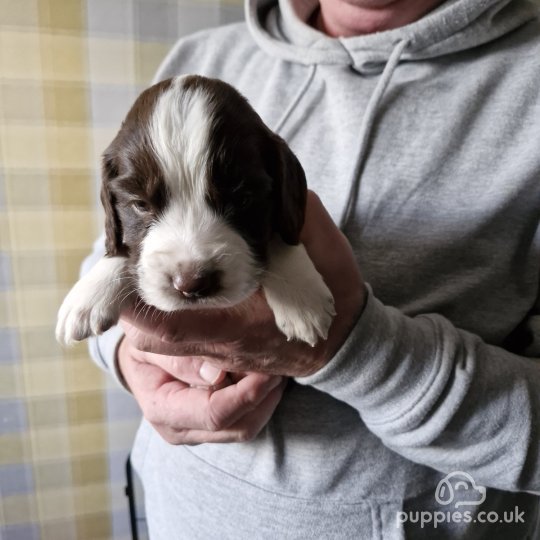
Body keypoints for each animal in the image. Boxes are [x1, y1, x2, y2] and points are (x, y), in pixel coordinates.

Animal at [54, 75, 334, 346]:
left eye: (243, 200)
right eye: (140, 205)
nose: (191, 285)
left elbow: (282, 236)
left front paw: (302, 297)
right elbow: (121, 248)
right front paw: (88, 295)